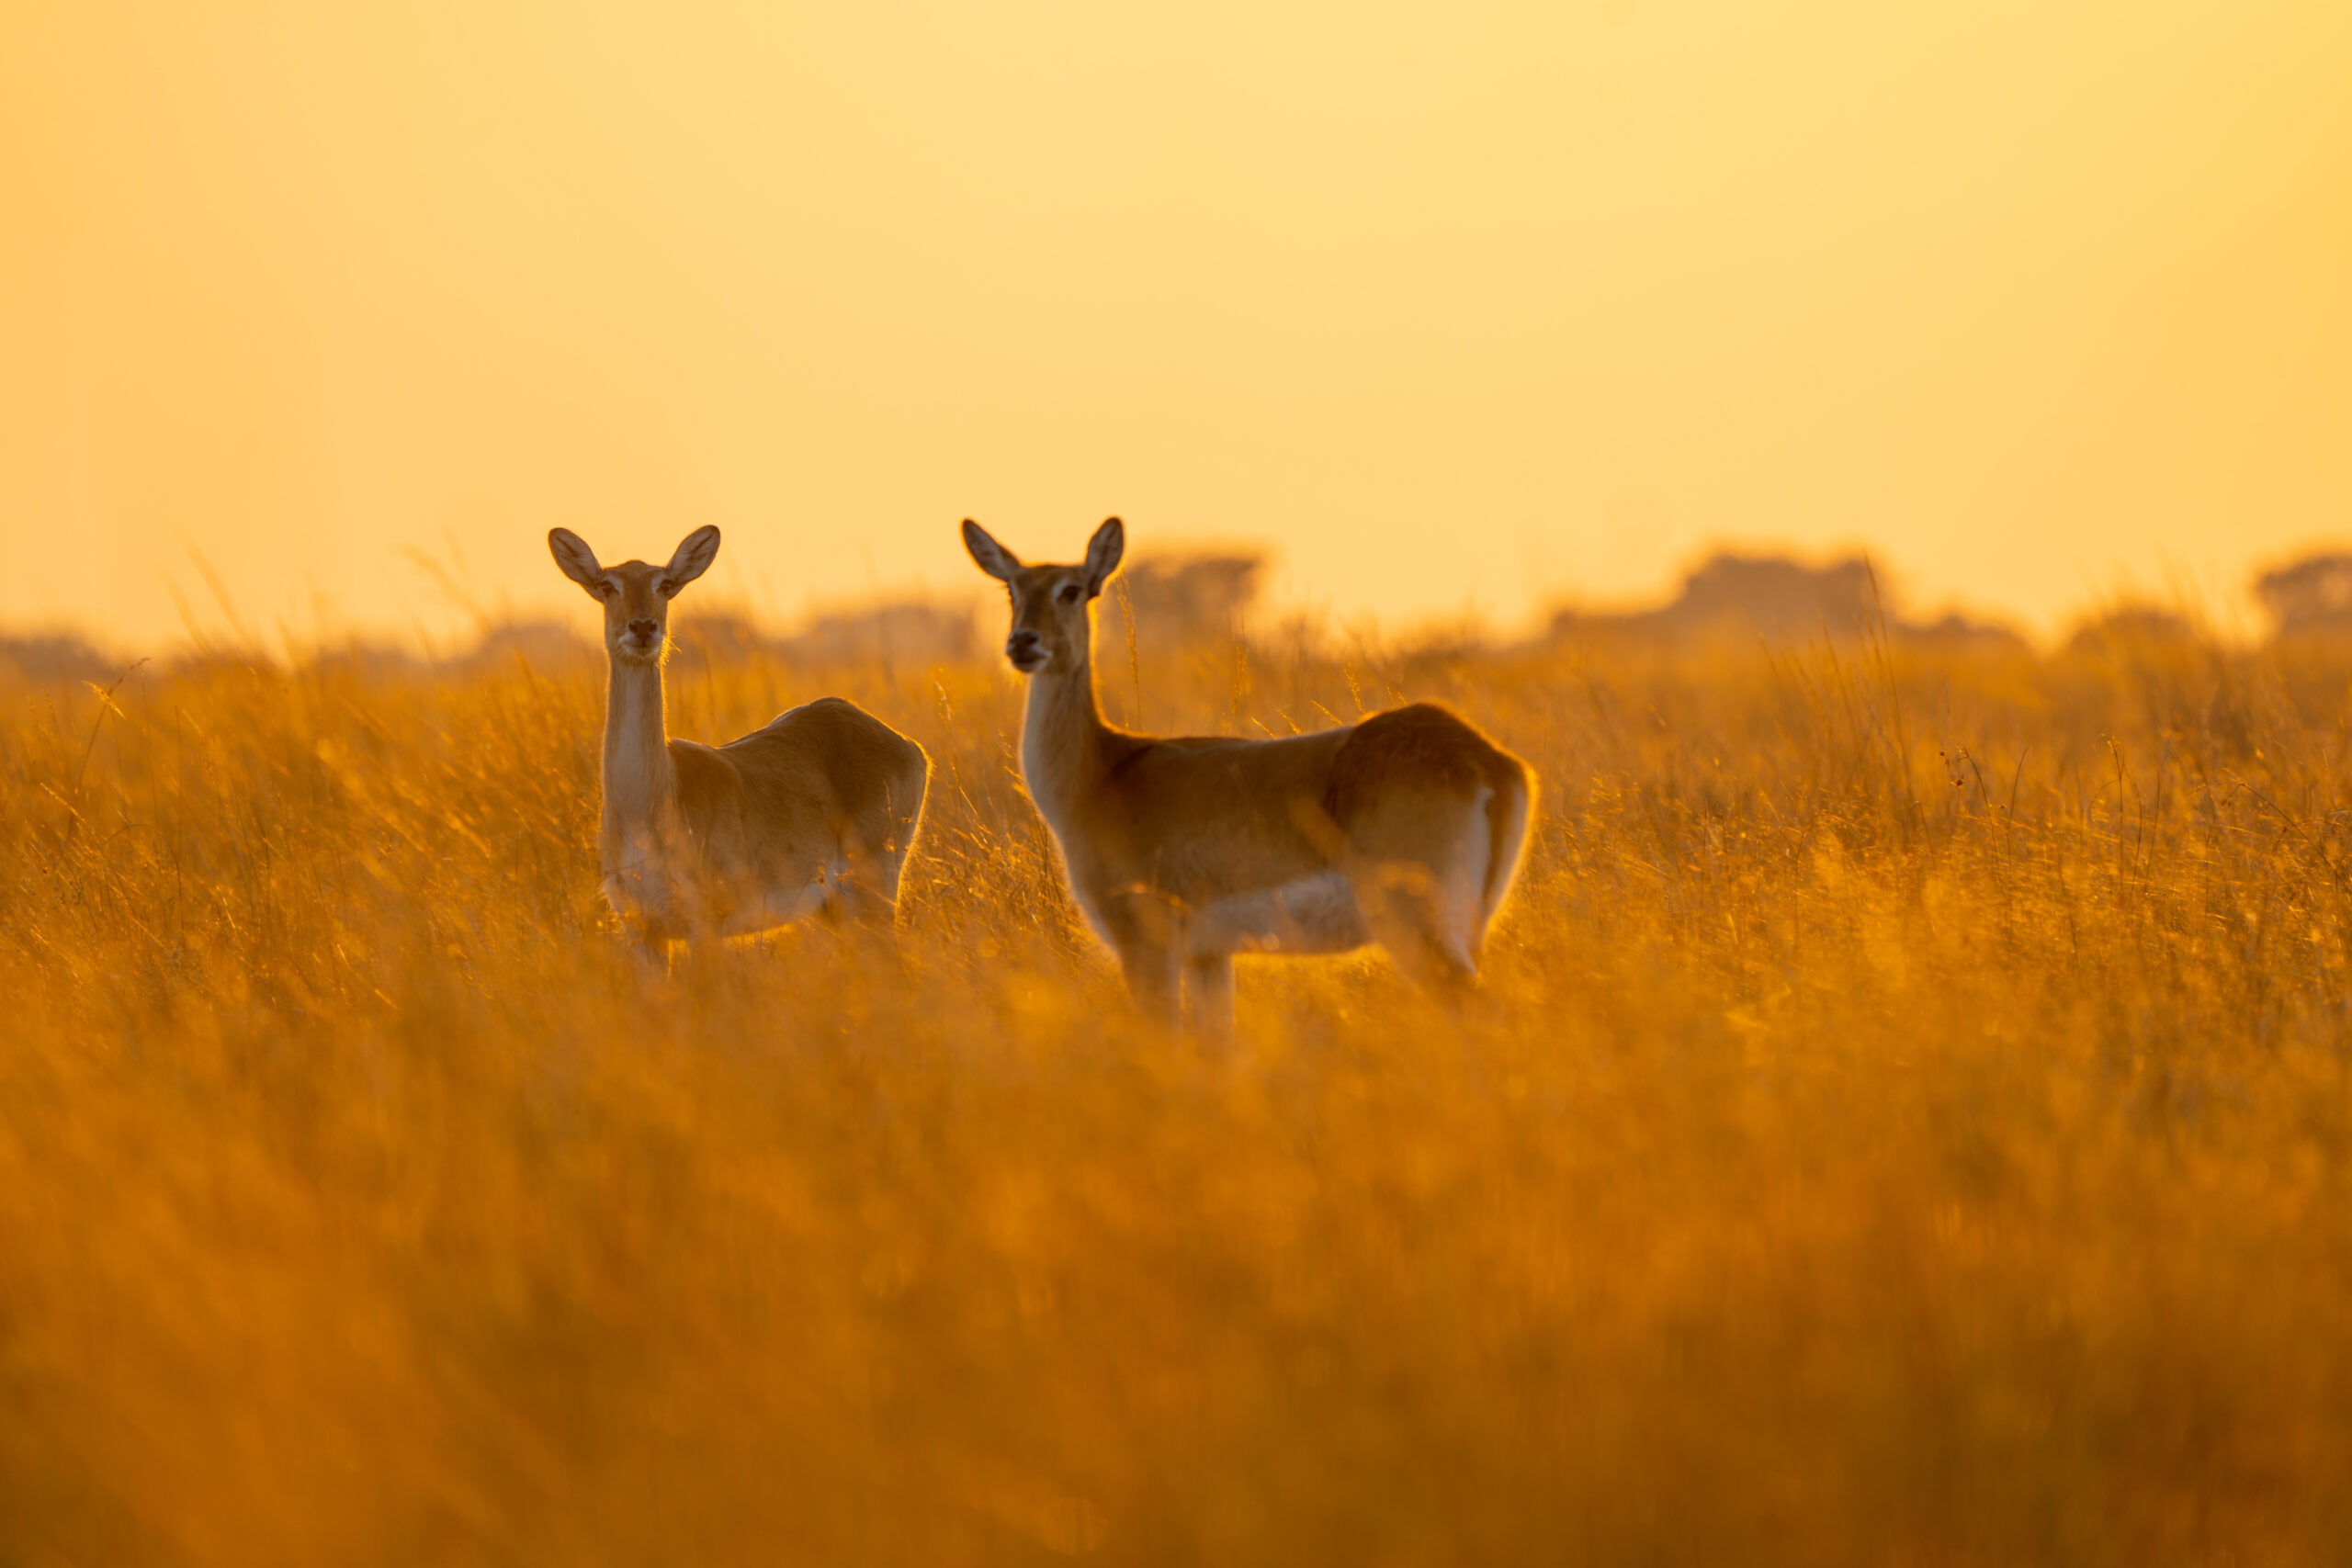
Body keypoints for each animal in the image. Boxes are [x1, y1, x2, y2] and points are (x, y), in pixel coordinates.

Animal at [548, 525, 930, 957]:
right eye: (606, 585)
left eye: (665, 584)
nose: (643, 627)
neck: (643, 812)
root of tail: (910, 746)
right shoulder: (641, 930)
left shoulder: (706, 926)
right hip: (833, 909)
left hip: (876, 887)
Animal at [962, 516, 1534, 1038]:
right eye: (1012, 588)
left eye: (1072, 588)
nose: (1023, 642)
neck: (1100, 773)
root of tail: (1484, 759)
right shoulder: (1209, 956)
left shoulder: (1146, 945)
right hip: (1470, 926)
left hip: (1416, 928)